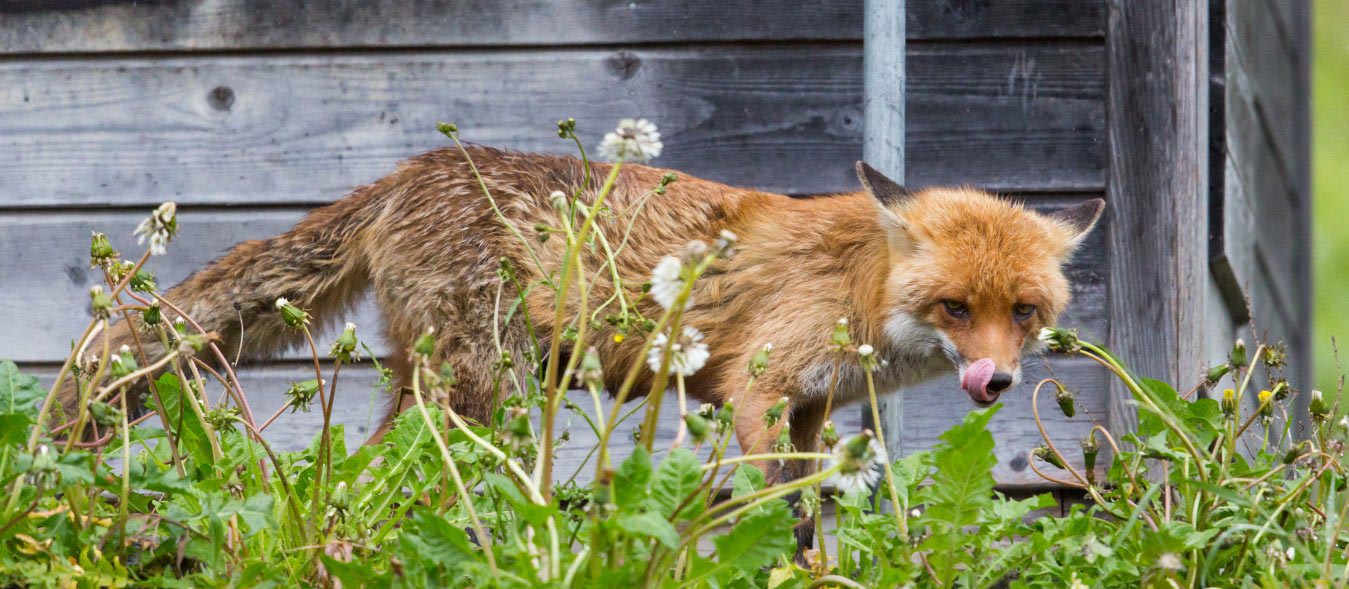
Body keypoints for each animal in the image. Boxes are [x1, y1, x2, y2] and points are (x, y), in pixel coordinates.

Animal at [58, 144, 1100, 474]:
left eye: (1024, 311)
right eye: (954, 306)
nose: (996, 380)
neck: (856, 291)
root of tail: (409, 171)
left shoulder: (810, 408)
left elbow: (806, 510)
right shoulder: (753, 390)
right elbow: (769, 501)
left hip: (447, 386)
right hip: (479, 389)